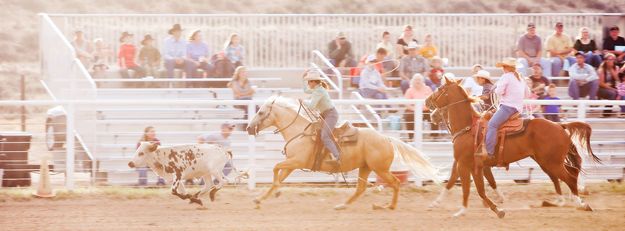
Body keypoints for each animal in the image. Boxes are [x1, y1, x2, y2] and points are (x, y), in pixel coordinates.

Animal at [245, 95, 438, 209]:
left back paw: (389, 207)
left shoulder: (296, 161)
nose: (248, 128)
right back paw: (342, 205)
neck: (299, 132)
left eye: (261, 112)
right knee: (361, 188)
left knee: (396, 183)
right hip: (365, 167)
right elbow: (278, 175)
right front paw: (261, 198)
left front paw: (274, 191)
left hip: (380, 169)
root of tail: (386, 138)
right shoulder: (292, 164)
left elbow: (275, 168)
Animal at [424, 76, 600, 218]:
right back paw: (565, 201)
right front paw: (437, 204)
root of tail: (560, 126)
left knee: (569, 177)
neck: (468, 128)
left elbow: (471, 188)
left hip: (552, 162)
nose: (427, 103)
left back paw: (580, 203)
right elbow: (456, 183)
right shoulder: (466, 164)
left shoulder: (466, 164)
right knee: (568, 175)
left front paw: (466, 211)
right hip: (548, 162)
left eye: (440, 89)